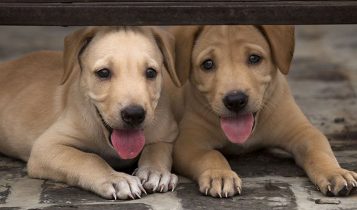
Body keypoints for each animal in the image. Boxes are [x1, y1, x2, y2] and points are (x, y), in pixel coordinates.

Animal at [0, 26, 179, 200]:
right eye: (103, 73)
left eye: (151, 72)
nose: (134, 114)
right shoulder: (46, 147)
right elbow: (89, 158)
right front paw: (116, 179)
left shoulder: (167, 134)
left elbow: (157, 149)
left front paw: (155, 171)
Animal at [170, 25, 356, 198]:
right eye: (207, 64)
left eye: (254, 58)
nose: (235, 100)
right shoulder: (188, 143)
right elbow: (211, 154)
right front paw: (220, 174)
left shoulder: (304, 132)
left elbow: (319, 151)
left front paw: (335, 173)